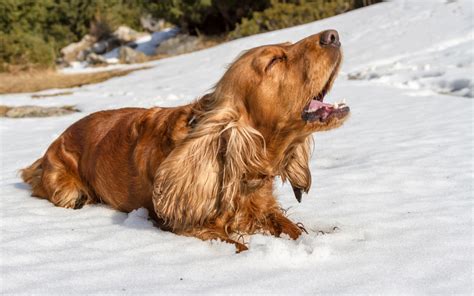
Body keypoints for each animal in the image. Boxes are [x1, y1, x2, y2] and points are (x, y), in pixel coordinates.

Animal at [21, 30, 348, 252]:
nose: (333, 35)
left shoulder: (265, 209)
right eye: (275, 61)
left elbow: (294, 229)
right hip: (63, 185)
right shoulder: (188, 225)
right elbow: (238, 245)